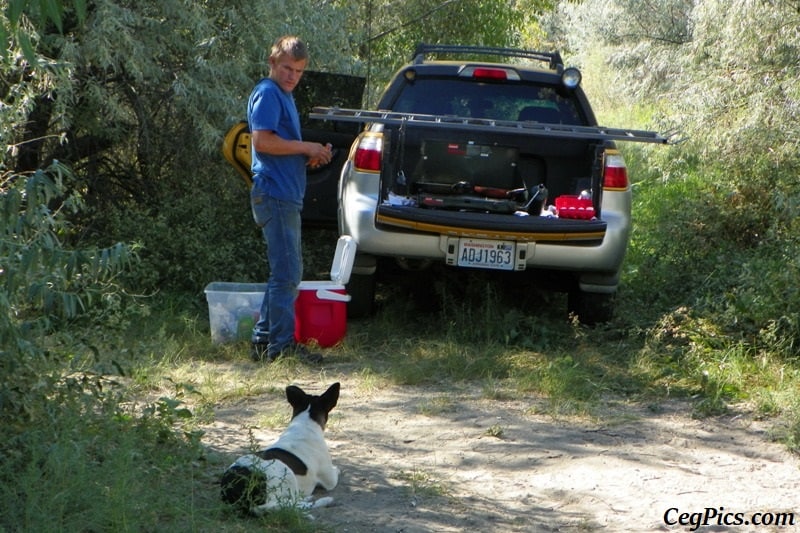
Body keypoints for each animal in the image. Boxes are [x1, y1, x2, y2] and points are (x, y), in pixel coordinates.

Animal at [219, 380, 340, 512]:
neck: (304, 423)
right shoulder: (330, 480)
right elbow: (336, 471)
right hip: (287, 473)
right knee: (292, 504)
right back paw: (319, 500)